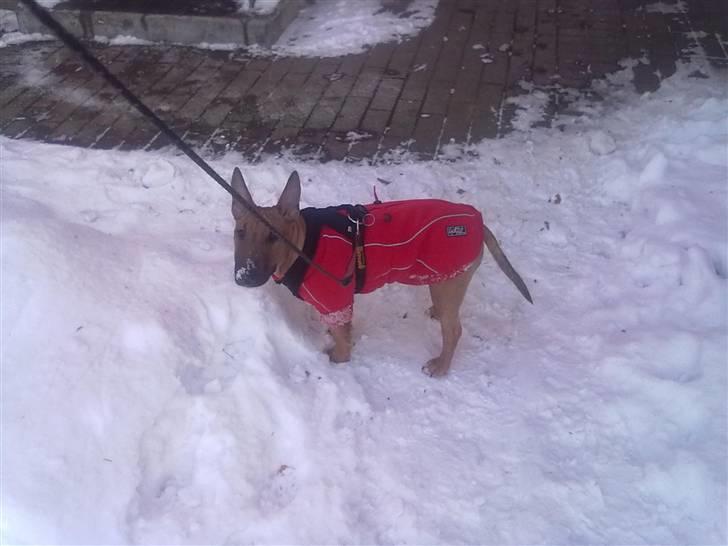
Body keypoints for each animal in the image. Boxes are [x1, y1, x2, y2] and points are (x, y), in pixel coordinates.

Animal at [230, 168, 532, 376]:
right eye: (240, 232)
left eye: (273, 237)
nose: (245, 277)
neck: (303, 245)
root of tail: (477, 220)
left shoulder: (337, 301)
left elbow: (343, 342)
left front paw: (337, 359)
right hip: (445, 280)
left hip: (450, 282)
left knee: (454, 330)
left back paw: (441, 366)